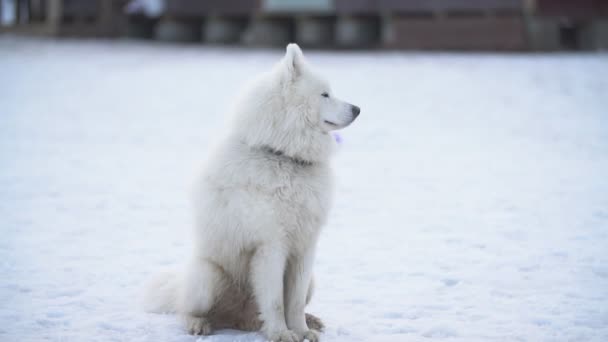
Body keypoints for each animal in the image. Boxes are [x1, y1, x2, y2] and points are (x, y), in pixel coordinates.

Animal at [142, 43, 360, 342]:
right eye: (325, 94)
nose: (358, 109)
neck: (283, 156)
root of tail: (241, 319)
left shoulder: (305, 247)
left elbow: (294, 302)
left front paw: (302, 331)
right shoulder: (271, 246)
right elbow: (276, 301)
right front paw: (281, 334)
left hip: (313, 280)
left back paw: (310, 320)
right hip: (207, 278)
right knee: (185, 310)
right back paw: (199, 324)